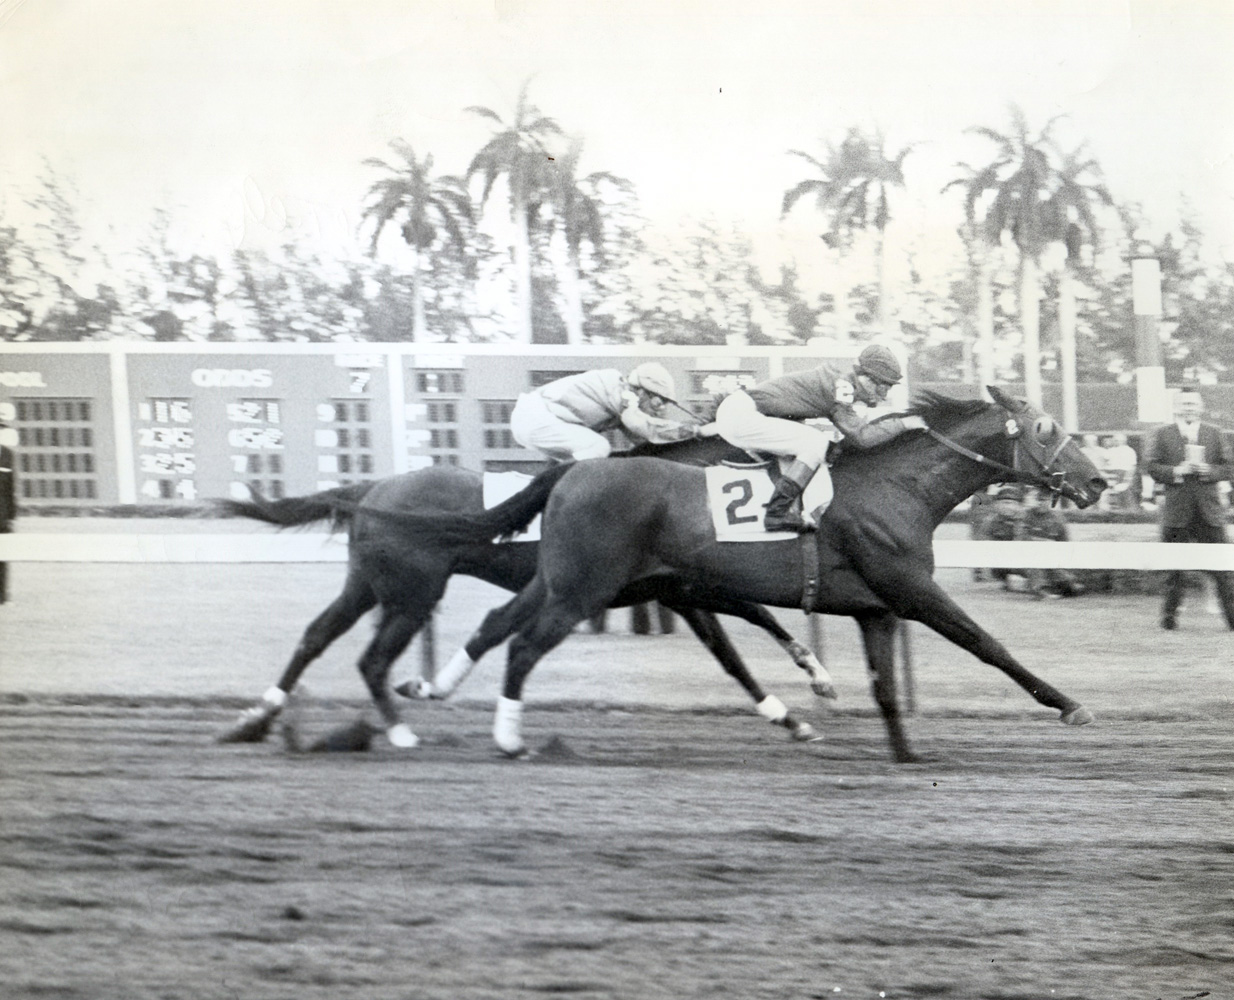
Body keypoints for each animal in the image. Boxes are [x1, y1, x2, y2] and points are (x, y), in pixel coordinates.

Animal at [370, 385, 1105, 760]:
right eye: (1046, 428)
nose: (1099, 481)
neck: (898, 488)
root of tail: (575, 470)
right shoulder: (910, 590)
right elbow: (987, 644)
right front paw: (1069, 704)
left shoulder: (872, 608)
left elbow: (883, 688)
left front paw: (902, 755)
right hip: (581, 587)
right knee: (522, 644)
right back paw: (505, 736)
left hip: (564, 580)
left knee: (499, 624)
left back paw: (433, 690)